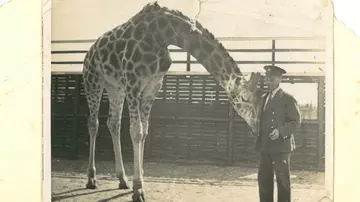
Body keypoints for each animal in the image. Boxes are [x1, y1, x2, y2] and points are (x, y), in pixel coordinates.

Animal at [82, 1, 262, 202]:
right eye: (245, 98)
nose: (257, 128)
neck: (161, 35)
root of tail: (89, 52)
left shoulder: (153, 85)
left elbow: (144, 132)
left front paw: (139, 180)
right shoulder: (133, 82)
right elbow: (136, 132)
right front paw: (138, 190)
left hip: (115, 88)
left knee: (113, 123)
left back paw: (122, 179)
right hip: (93, 80)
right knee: (93, 123)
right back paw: (91, 179)